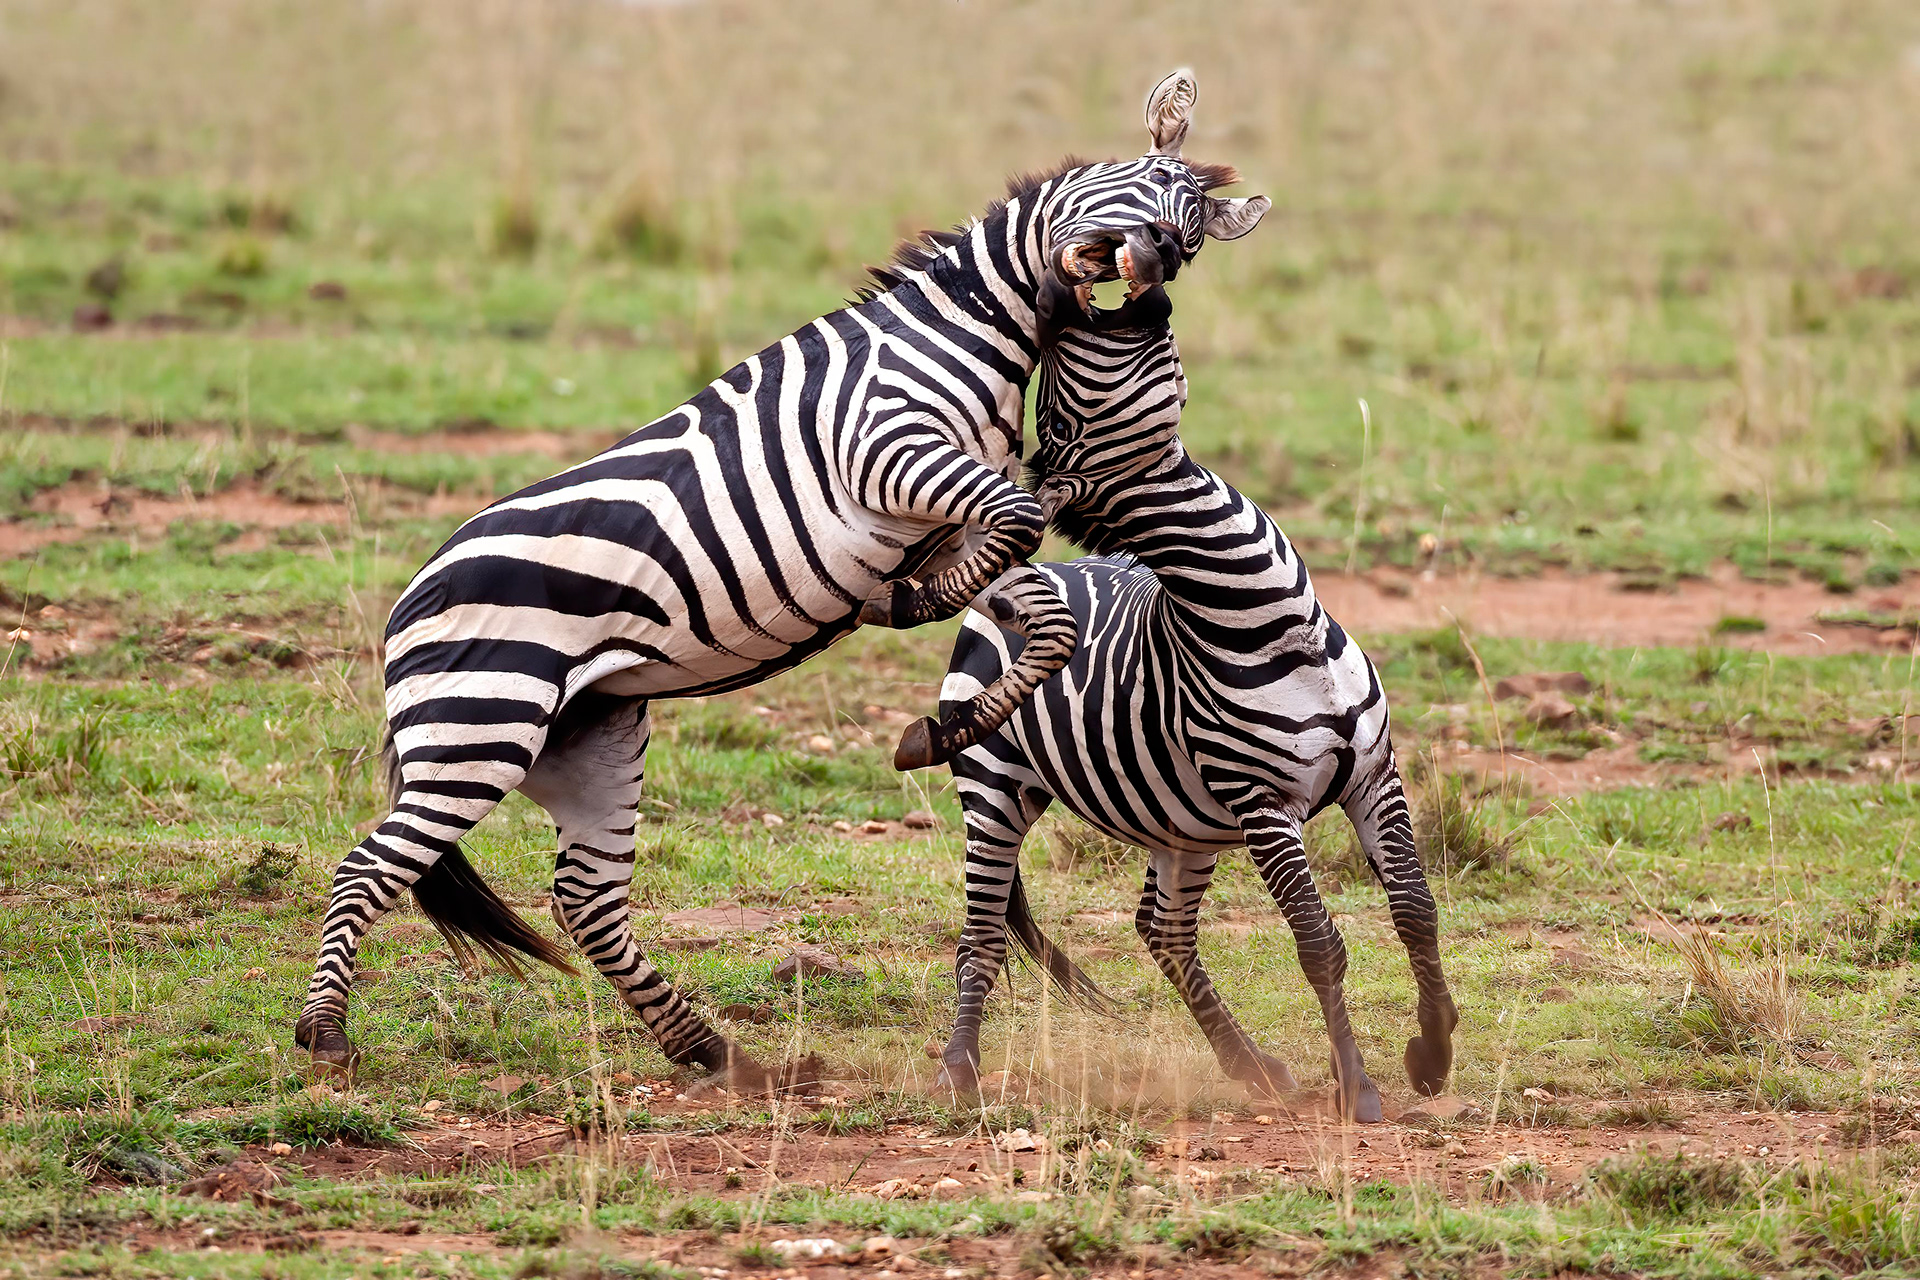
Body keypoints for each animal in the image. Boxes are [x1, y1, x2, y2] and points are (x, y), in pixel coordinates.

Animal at [295, 71, 1275, 1090]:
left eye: (1194, 236)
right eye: (1152, 185)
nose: (1156, 257)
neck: (975, 335)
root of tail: (405, 606)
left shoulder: (942, 521)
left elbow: (1039, 610)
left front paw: (944, 709)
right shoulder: (892, 453)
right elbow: (1021, 523)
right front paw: (923, 636)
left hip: (587, 738)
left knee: (587, 899)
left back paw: (720, 1055)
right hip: (480, 727)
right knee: (372, 867)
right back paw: (326, 1036)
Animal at [932, 289, 1457, 1123]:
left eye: (1051, 399)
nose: (1058, 301)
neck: (1274, 623)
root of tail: (1021, 589)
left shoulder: (1376, 773)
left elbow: (1415, 908)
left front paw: (1432, 1053)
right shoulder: (1266, 805)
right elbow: (1320, 944)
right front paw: (1358, 1086)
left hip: (1181, 820)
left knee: (1165, 931)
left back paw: (1249, 1064)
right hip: (995, 789)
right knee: (980, 937)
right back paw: (960, 1069)